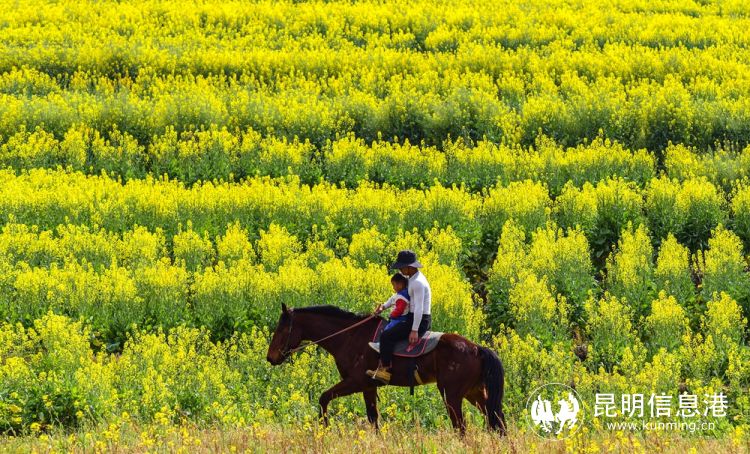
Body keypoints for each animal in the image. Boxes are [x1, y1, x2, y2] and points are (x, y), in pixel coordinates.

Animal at [266, 303, 507, 435]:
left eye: (281, 328)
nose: (270, 358)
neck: (349, 336)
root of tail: (477, 349)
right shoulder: (369, 387)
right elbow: (373, 418)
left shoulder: (356, 382)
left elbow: (324, 397)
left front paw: (324, 427)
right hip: (473, 393)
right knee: (497, 421)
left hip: (452, 395)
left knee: (462, 428)